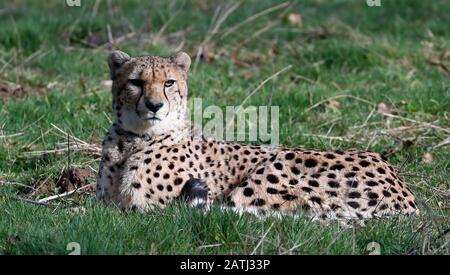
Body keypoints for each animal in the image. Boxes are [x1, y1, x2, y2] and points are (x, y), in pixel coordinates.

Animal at [96, 50, 420, 221]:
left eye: (169, 83)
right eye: (136, 82)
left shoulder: (151, 211)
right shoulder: (106, 205)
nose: (154, 105)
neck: (132, 139)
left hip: (272, 170)